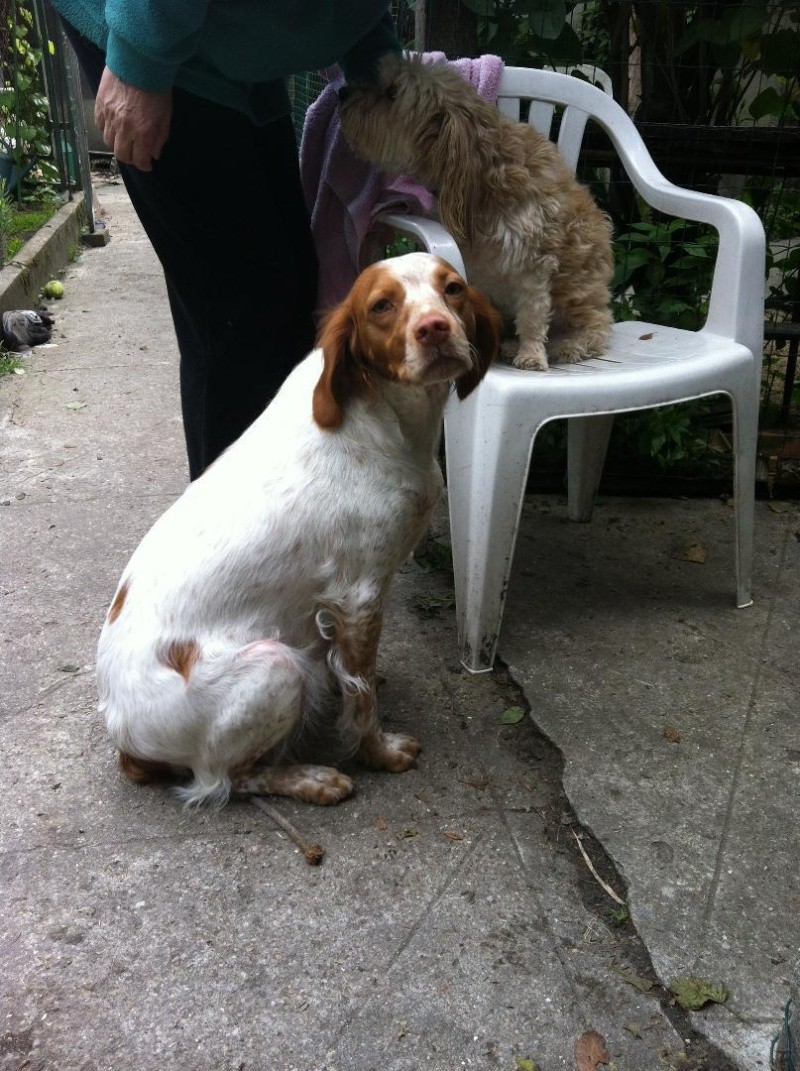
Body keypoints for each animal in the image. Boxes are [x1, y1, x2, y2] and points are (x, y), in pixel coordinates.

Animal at [96, 252, 501, 805]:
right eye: (381, 306)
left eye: (453, 289)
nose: (435, 328)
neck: (380, 415)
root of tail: (122, 734)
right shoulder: (360, 594)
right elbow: (361, 697)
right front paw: (380, 753)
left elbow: (350, 672)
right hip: (275, 666)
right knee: (227, 777)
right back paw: (312, 779)